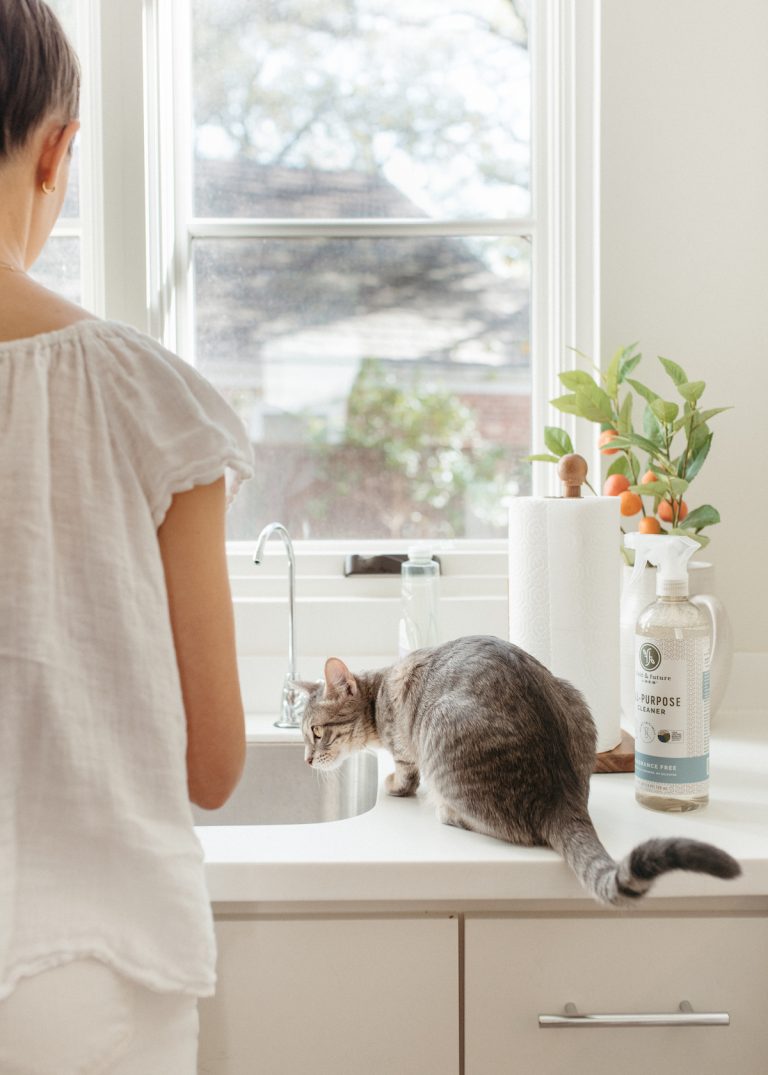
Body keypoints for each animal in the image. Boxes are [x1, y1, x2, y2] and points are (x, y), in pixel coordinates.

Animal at [301, 632, 740, 903]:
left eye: (316, 732)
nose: (305, 759)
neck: (378, 696)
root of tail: (560, 795)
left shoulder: (406, 749)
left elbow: (405, 774)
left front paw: (392, 783)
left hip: (441, 725)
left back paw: (447, 811)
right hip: (573, 695)